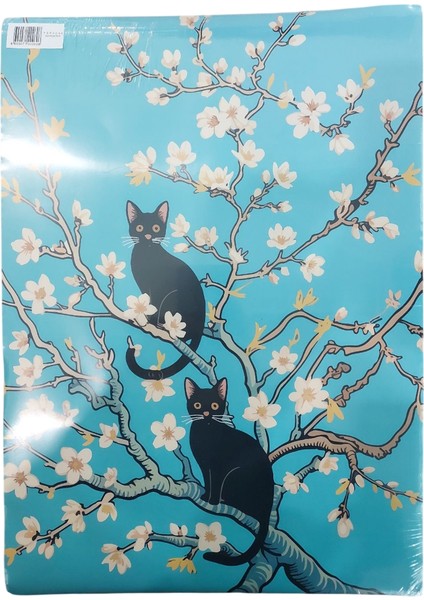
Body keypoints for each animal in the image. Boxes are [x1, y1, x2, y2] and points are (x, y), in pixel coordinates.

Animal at [125, 200, 205, 380]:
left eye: (155, 228)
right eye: (140, 227)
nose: (148, 236)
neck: (146, 255)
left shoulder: (155, 289)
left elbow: (153, 304)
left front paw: (149, 321)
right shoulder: (144, 288)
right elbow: (146, 302)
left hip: (172, 298)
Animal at [185, 377, 274, 566]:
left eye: (214, 405)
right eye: (197, 405)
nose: (206, 413)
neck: (205, 433)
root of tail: (268, 509)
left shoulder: (219, 467)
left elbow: (216, 483)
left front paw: (212, 500)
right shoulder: (204, 466)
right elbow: (208, 481)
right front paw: (206, 496)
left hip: (235, 475)